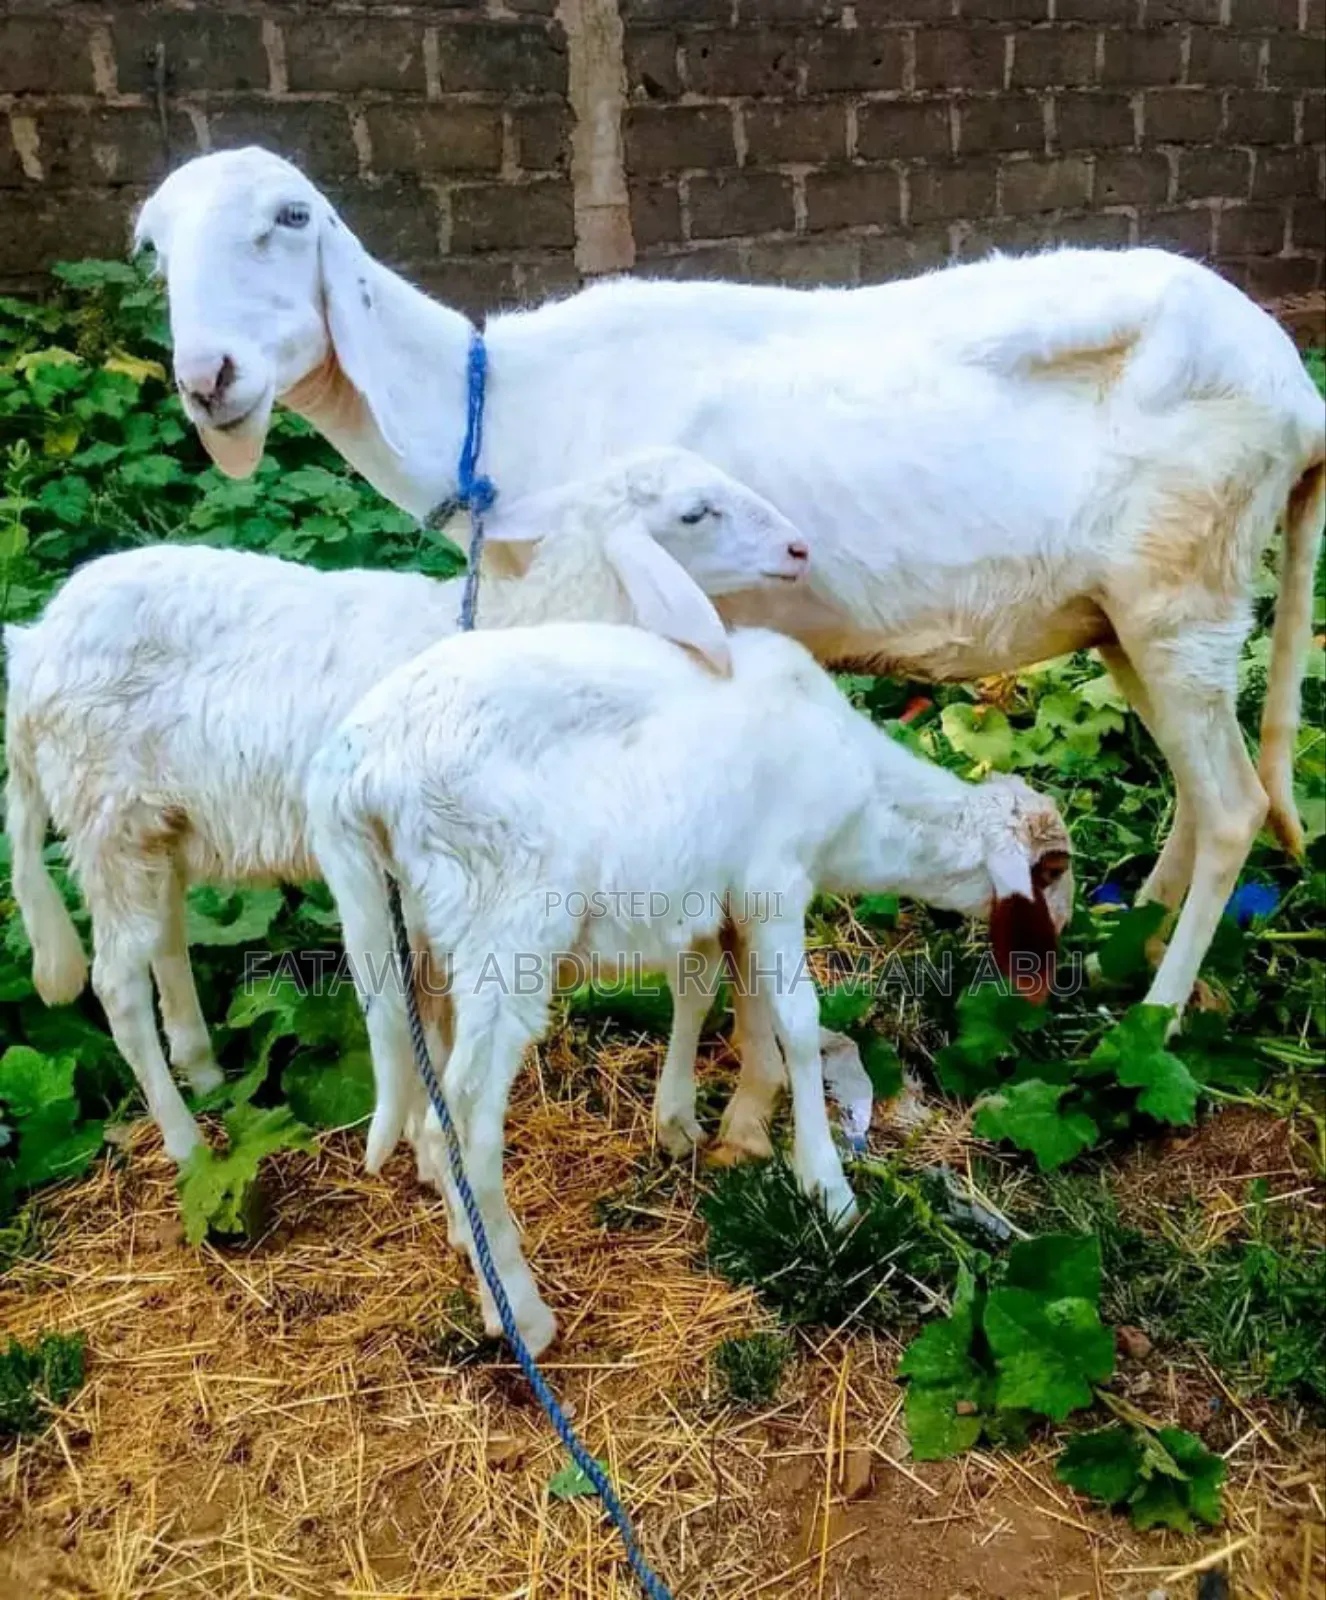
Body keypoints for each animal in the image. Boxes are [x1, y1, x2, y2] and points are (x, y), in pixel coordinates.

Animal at [3, 449, 809, 1163]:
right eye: (695, 513)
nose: (800, 549)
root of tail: (36, 645)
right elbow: (429, 1009)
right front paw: (429, 1144)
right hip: (107, 812)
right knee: (115, 983)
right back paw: (186, 1143)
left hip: (154, 825)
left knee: (165, 940)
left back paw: (204, 1076)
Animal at [135, 146, 1325, 1034]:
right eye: (152, 245)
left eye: (291, 217)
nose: (208, 379)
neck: (498, 407)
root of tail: (1299, 394)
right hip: (1130, 612)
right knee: (1199, 786)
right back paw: (1138, 930)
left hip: (1184, 589)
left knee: (1234, 805)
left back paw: (1156, 1014)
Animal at [305, 621, 1074, 1354]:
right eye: (1054, 873)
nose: (1048, 976)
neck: (865, 808)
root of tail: (354, 771)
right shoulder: (774, 882)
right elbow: (798, 1023)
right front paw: (826, 1185)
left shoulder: (721, 896)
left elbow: (712, 995)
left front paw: (714, 1121)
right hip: (509, 929)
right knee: (460, 1119)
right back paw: (518, 1308)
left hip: (418, 935)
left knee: (427, 1088)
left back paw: (469, 1239)